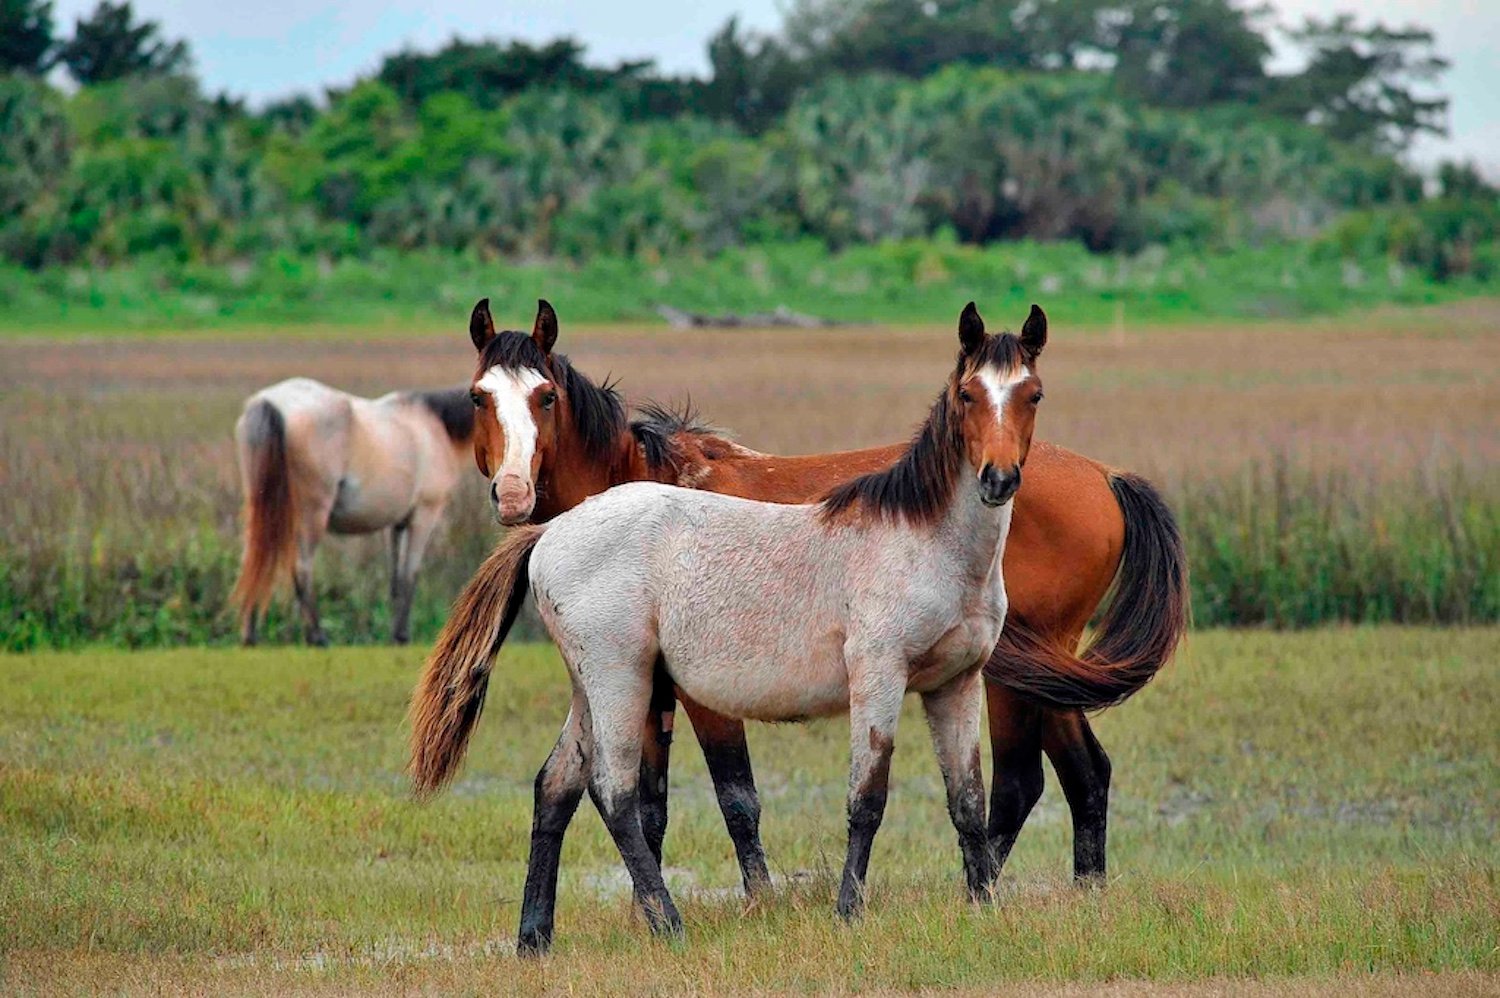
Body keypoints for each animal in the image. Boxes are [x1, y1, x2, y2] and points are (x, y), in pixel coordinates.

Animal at [231, 375, 474, 645]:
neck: (437, 424)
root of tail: (270, 402)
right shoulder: (423, 515)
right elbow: (410, 574)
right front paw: (402, 635)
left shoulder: (395, 524)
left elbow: (396, 580)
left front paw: (394, 635)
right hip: (311, 515)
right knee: (302, 568)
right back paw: (317, 637)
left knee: (253, 562)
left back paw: (250, 637)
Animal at [444, 297, 1182, 894]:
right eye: (479, 397)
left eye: (545, 397)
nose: (513, 494)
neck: (641, 476)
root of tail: (1105, 474)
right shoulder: (652, 687)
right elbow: (650, 804)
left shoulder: (700, 695)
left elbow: (735, 797)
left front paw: (759, 901)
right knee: (1084, 772)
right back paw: (1084, 890)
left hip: (1016, 677)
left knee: (1025, 782)